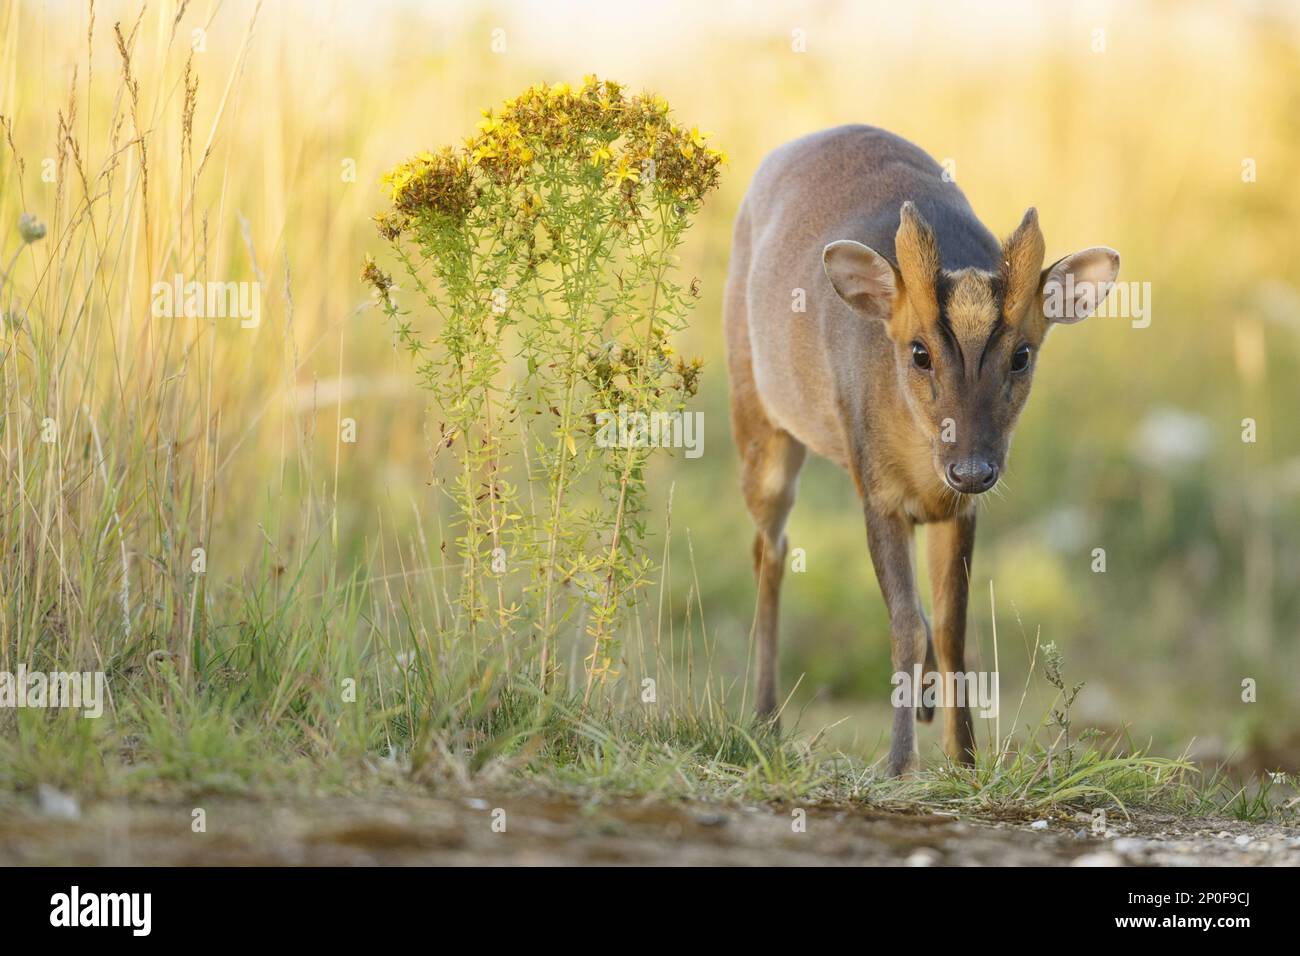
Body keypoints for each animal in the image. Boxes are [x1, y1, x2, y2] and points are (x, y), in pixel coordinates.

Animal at [728, 125, 1123, 780]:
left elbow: (951, 625)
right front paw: (897, 764)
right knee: (769, 548)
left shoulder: (957, 509)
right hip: (757, 411)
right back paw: (764, 721)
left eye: (1022, 355)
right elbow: (906, 626)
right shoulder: (877, 492)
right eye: (918, 352)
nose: (972, 468)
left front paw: (963, 761)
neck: (922, 463)